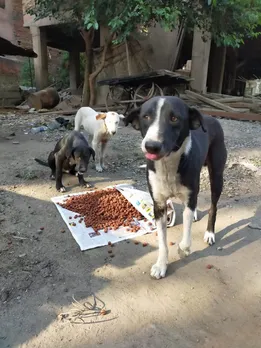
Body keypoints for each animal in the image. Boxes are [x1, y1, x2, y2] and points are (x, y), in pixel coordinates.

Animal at [124, 96, 225, 280]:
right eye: (146, 117)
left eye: (174, 118)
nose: (151, 145)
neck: (168, 164)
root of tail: (210, 117)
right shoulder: (159, 205)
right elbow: (163, 241)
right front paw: (161, 265)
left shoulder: (189, 194)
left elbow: (186, 230)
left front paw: (183, 249)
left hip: (217, 176)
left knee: (213, 206)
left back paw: (209, 233)